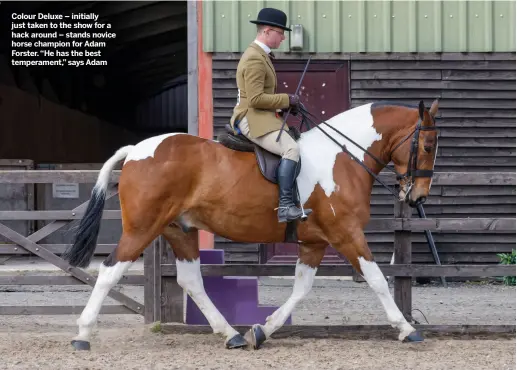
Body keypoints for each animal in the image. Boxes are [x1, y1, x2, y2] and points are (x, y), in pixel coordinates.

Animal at [61, 97, 440, 350]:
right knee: (110, 271)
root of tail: (136, 150)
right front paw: (407, 329)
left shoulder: (315, 242)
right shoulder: (345, 233)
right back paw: (82, 335)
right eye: (427, 145)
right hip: (142, 229)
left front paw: (261, 330)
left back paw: (231, 335)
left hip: (180, 230)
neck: (342, 157)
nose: (418, 197)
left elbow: (301, 288)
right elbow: (376, 279)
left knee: (191, 280)